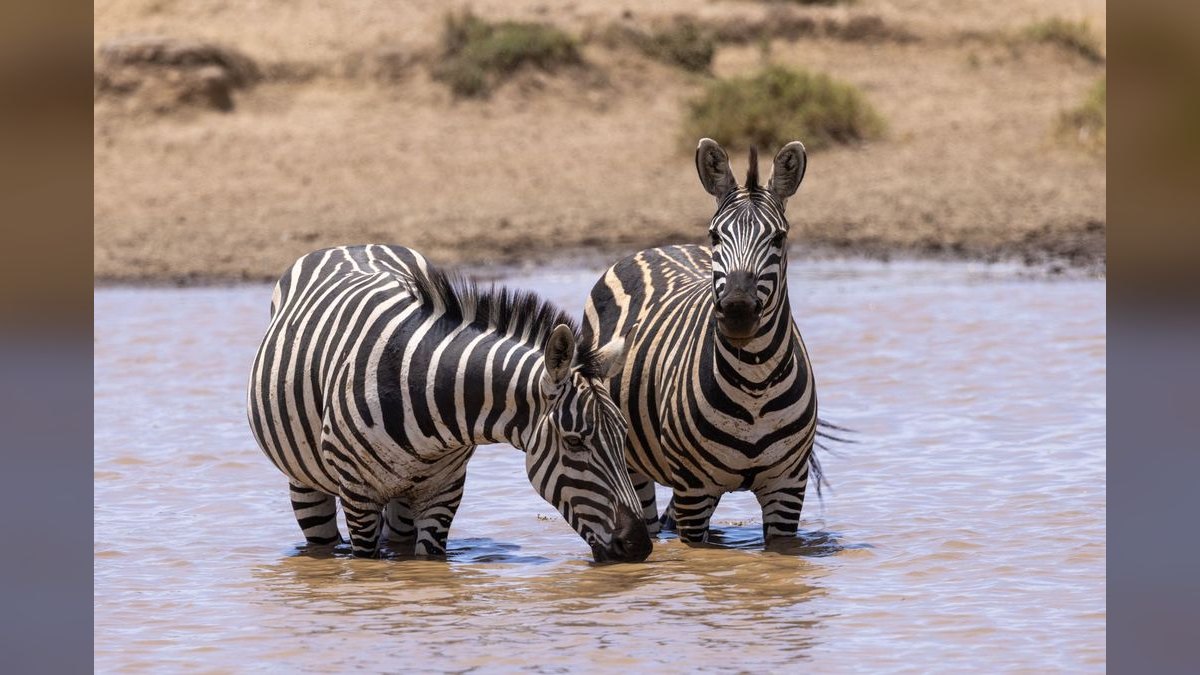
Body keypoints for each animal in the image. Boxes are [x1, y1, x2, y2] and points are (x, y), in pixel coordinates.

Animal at [247, 244, 652, 562]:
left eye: (624, 433)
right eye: (574, 441)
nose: (639, 546)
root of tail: (350, 245)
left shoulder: (444, 490)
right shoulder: (359, 496)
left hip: (403, 498)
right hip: (305, 481)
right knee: (320, 539)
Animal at [581, 138, 820, 547]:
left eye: (778, 237)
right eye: (715, 236)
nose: (738, 310)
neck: (754, 384)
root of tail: (656, 248)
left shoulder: (788, 487)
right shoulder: (694, 489)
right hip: (631, 462)